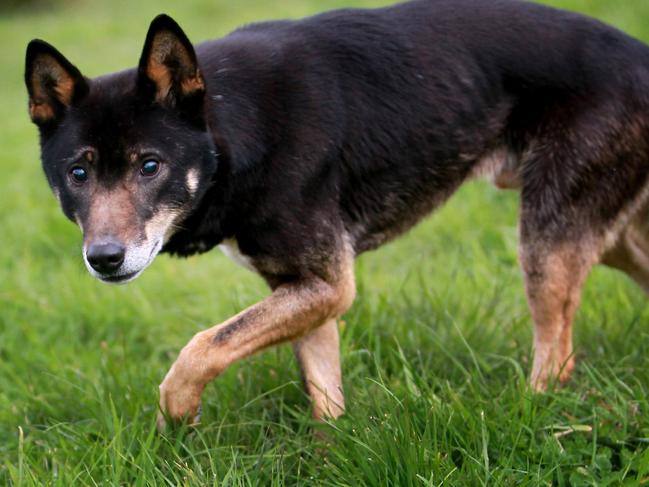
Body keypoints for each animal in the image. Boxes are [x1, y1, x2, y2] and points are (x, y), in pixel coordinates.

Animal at [25, 0, 649, 428]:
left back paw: (531, 413)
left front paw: (177, 417)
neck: (229, 129)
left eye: (150, 165)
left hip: (547, 239)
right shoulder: (306, 289)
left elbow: (201, 347)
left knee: (557, 357)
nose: (104, 260)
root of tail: (639, 56)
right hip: (612, 234)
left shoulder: (327, 285)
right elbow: (323, 394)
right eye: (78, 174)